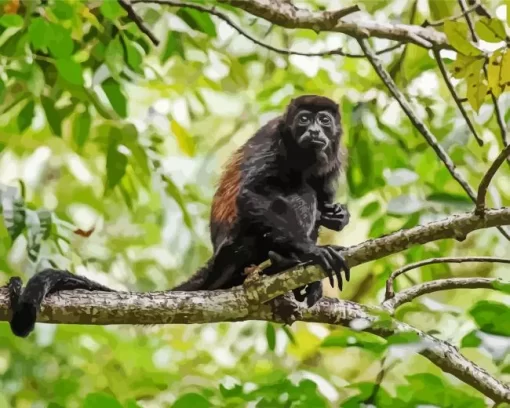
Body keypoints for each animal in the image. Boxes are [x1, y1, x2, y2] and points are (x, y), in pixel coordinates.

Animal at [6, 94, 350, 336]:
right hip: (240, 246)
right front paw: (311, 250)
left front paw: (336, 215)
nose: (315, 130)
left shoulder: (334, 157)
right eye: (304, 120)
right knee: (299, 192)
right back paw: (284, 261)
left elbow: (323, 197)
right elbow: (251, 194)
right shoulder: (274, 140)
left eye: (324, 120)